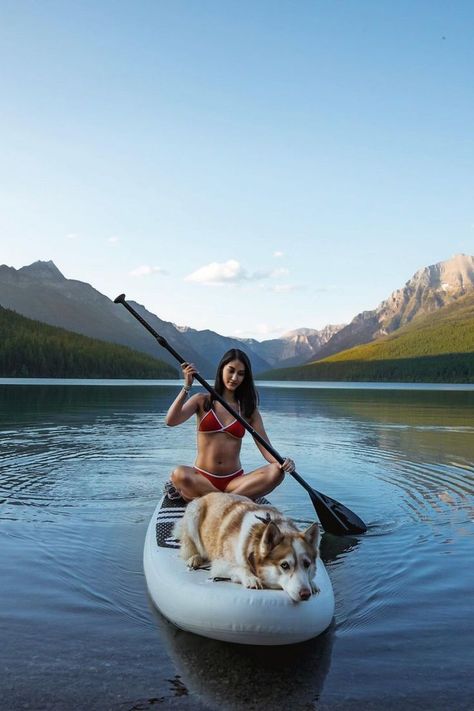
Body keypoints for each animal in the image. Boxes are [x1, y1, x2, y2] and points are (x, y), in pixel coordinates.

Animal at [174, 492, 318, 604]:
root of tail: (207, 494)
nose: (306, 594)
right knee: (190, 548)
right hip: (194, 513)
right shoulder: (220, 565)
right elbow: (240, 568)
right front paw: (251, 578)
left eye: (307, 564)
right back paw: (194, 558)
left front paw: (312, 583)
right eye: (285, 565)